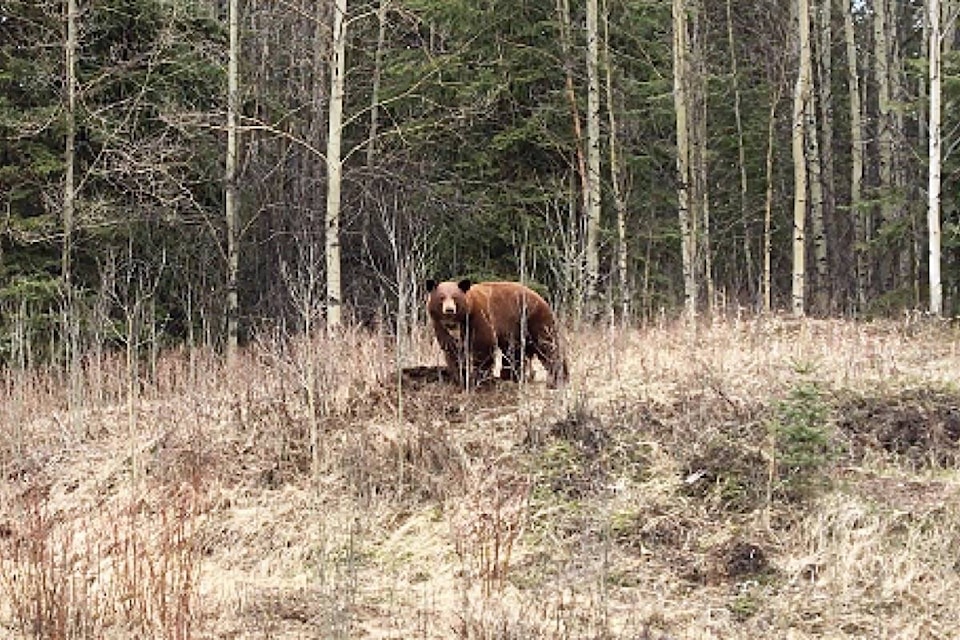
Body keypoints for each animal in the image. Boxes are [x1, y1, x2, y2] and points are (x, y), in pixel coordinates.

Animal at [424, 278, 568, 388]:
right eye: (441, 298)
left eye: (455, 297)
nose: (449, 310)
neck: (457, 322)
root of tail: (541, 298)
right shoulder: (440, 326)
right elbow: (451, 350)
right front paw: (459, 376)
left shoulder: (479, 317)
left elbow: (483, 345)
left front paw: (478, 376)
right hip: (517, 329)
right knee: (514, 352)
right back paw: (511, 376)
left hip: (534, 318)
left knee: (548, 345)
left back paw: (558, 378)